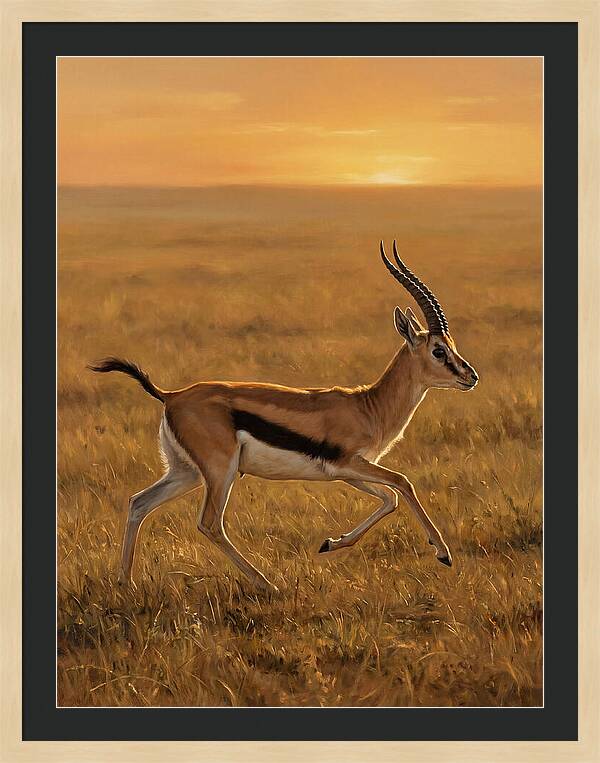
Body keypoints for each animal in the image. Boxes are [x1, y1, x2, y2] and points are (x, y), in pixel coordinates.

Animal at [90, 241, 478, 593]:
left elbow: (389, 498)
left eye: (452, 345)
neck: (368, 406)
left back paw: (125, 583)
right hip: (220, 471)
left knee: (139, 503)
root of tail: (171, 395)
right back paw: (267, 584)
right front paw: (443, 553)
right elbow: (403, 483)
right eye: (438, 350)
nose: (470, 376)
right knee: (210, 523)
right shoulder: (349, 463)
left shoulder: (346, 472)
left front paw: (330, 543)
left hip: (186, 472)